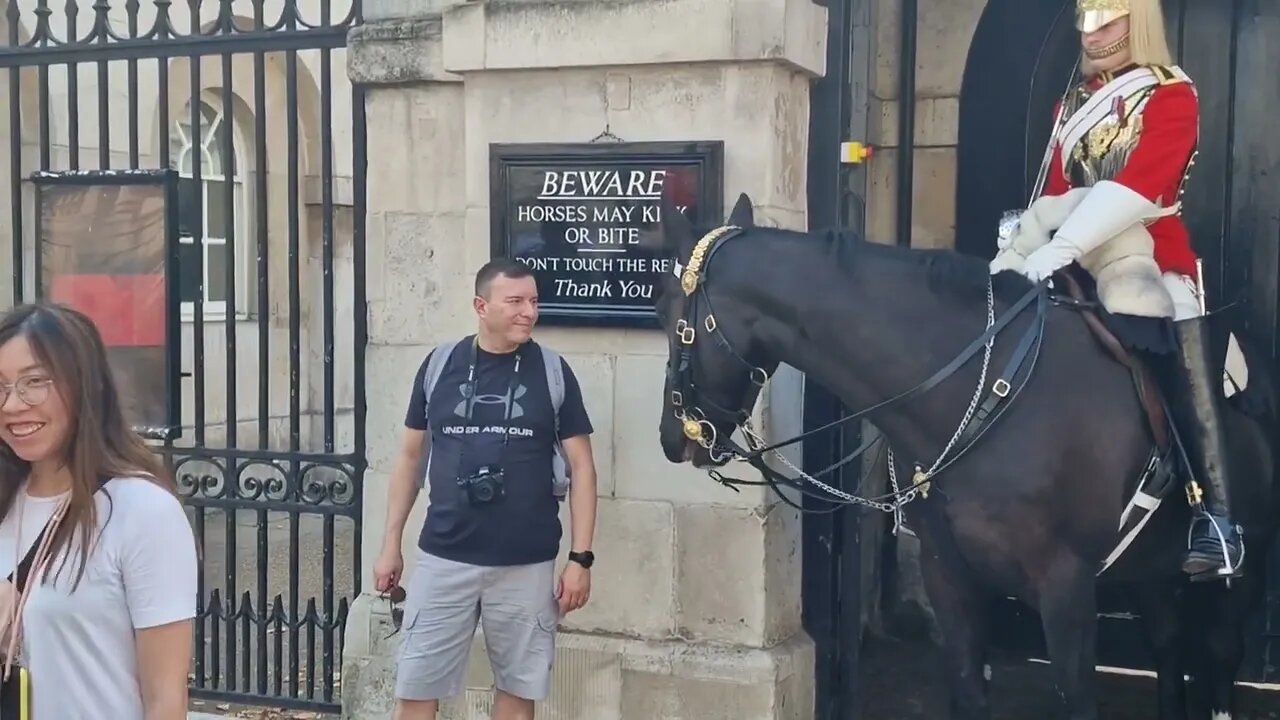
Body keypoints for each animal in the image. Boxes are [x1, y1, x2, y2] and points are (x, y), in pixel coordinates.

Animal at [655, 192, 1274, 717]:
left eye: (668, 313)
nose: (671, 438)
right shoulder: (949, 576)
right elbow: (968, 692)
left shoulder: (1066, 586)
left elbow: (1077, 697)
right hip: (1150, 574)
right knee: (1168, 649)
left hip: (1232, 583)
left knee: (1220, 658)